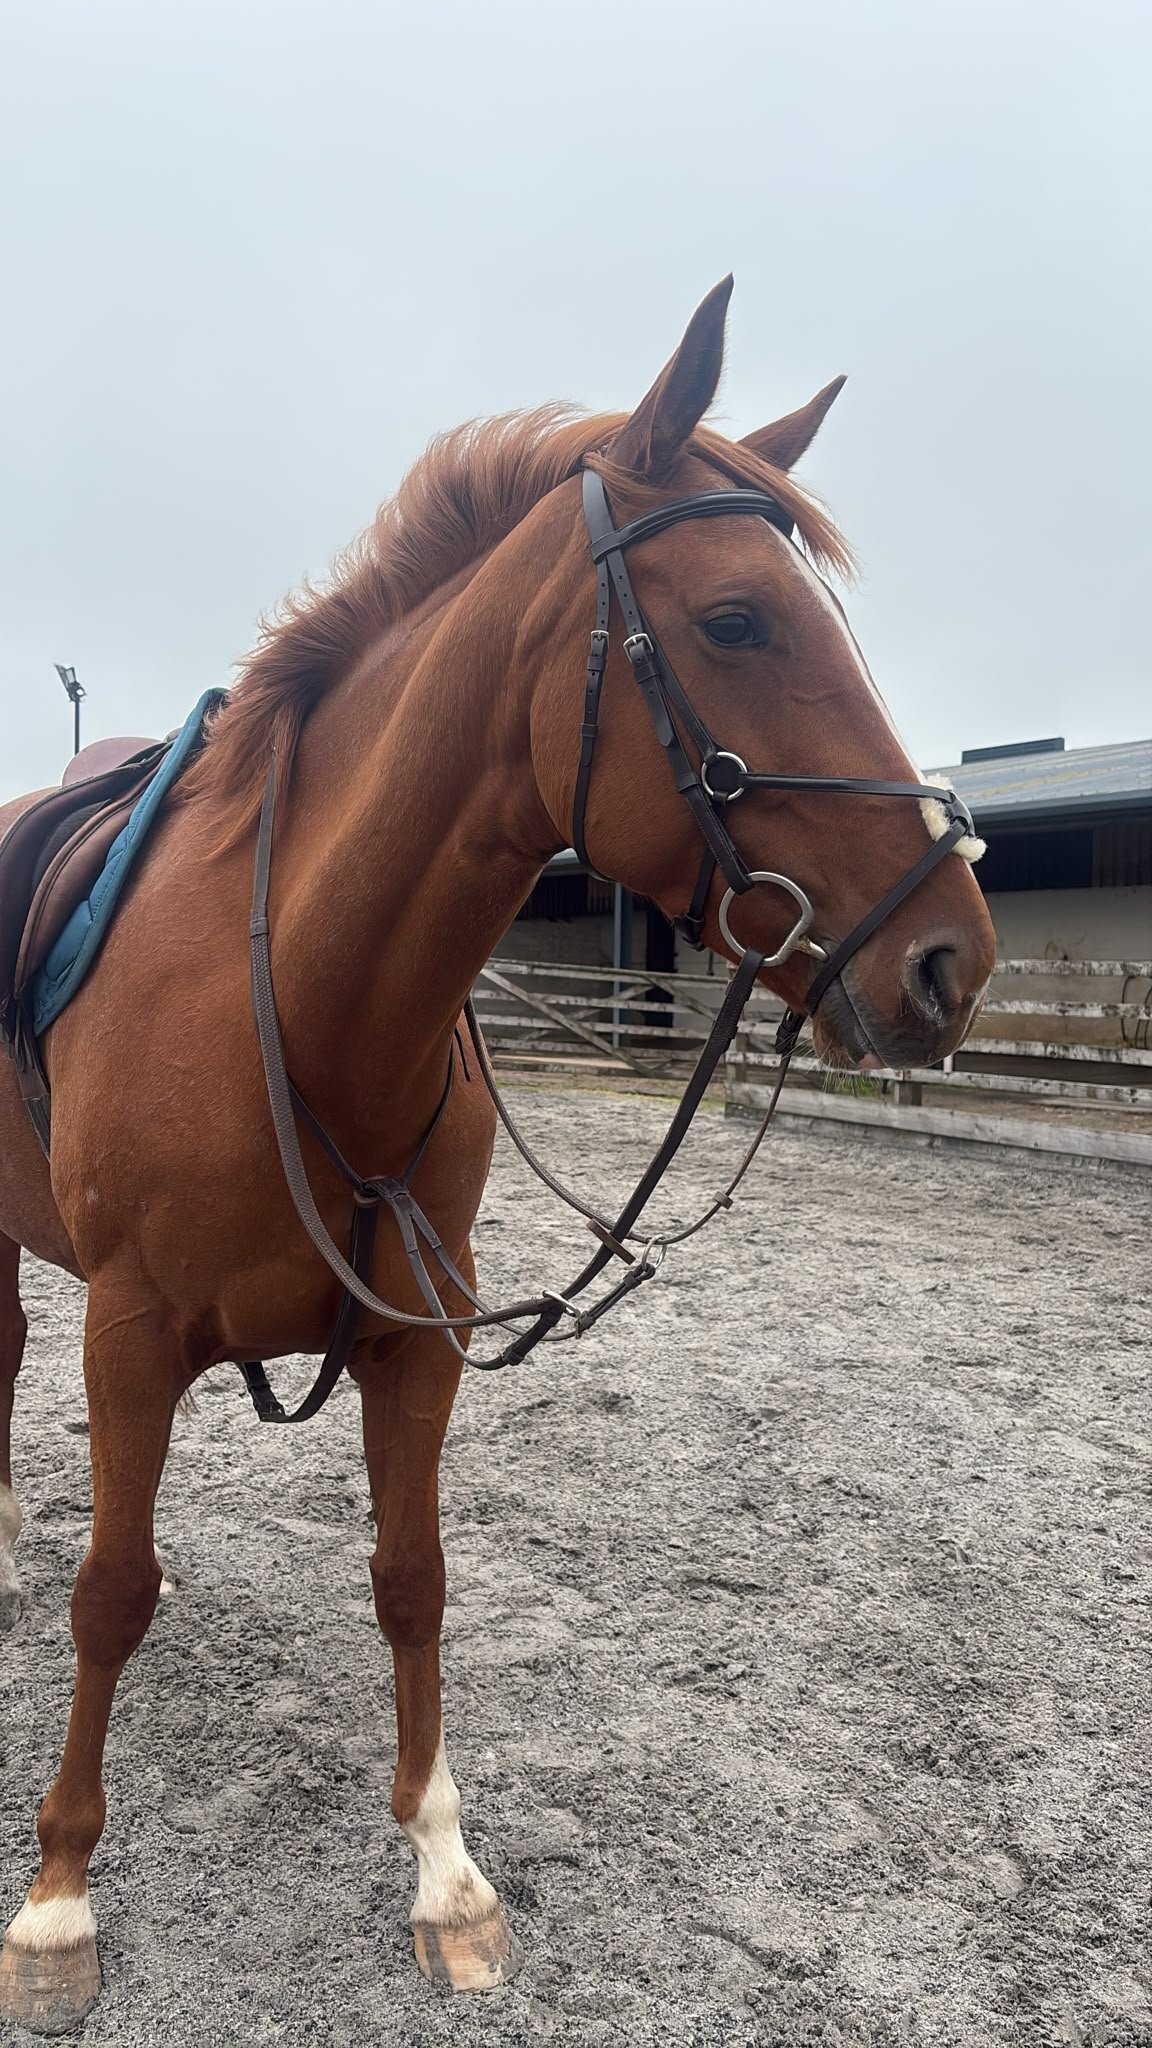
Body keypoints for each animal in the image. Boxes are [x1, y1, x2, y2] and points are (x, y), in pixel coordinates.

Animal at [0, 277, 996, 2029]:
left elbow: (414, 1578)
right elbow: (108, 1594)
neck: (301, 990)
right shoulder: (125, 1336)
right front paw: (58, 1901)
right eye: (738, 622)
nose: (955, 959)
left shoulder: (423, 1336)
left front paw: (446, 1873)